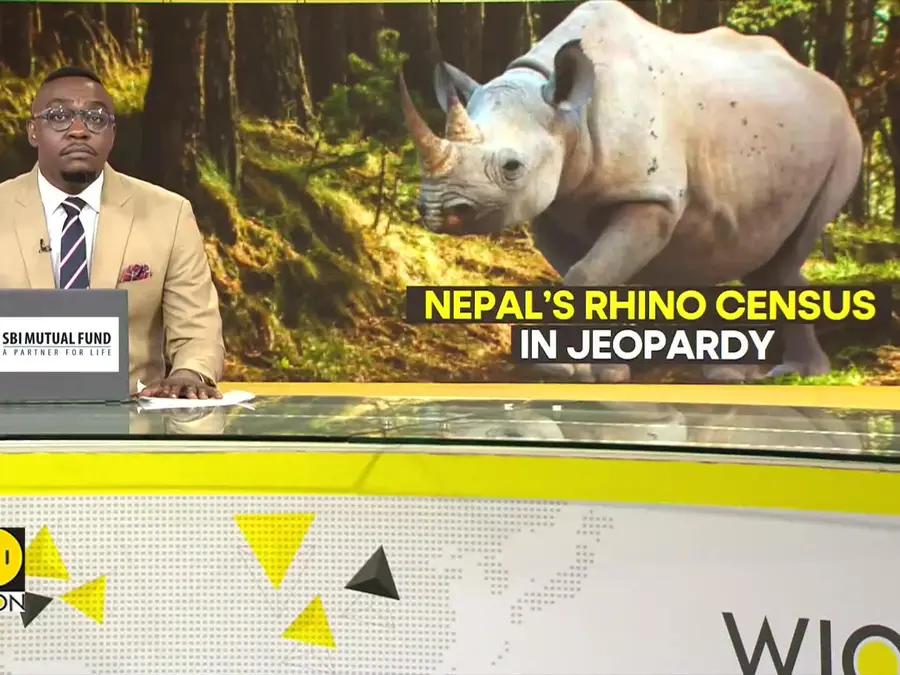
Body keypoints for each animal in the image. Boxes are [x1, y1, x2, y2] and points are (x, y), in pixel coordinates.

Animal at [398, 0, 863, 383]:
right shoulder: (554, 205)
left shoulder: (651, 196)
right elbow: (589, 275)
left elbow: (587, 274)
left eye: (512, 167)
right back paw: (748, 373)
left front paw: (565, 370)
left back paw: (788, 374)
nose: (438, 210)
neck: (566, 112)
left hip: (845, 138)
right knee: (764, 255)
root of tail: (828, 85)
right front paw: (595, 369)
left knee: (789, 252)